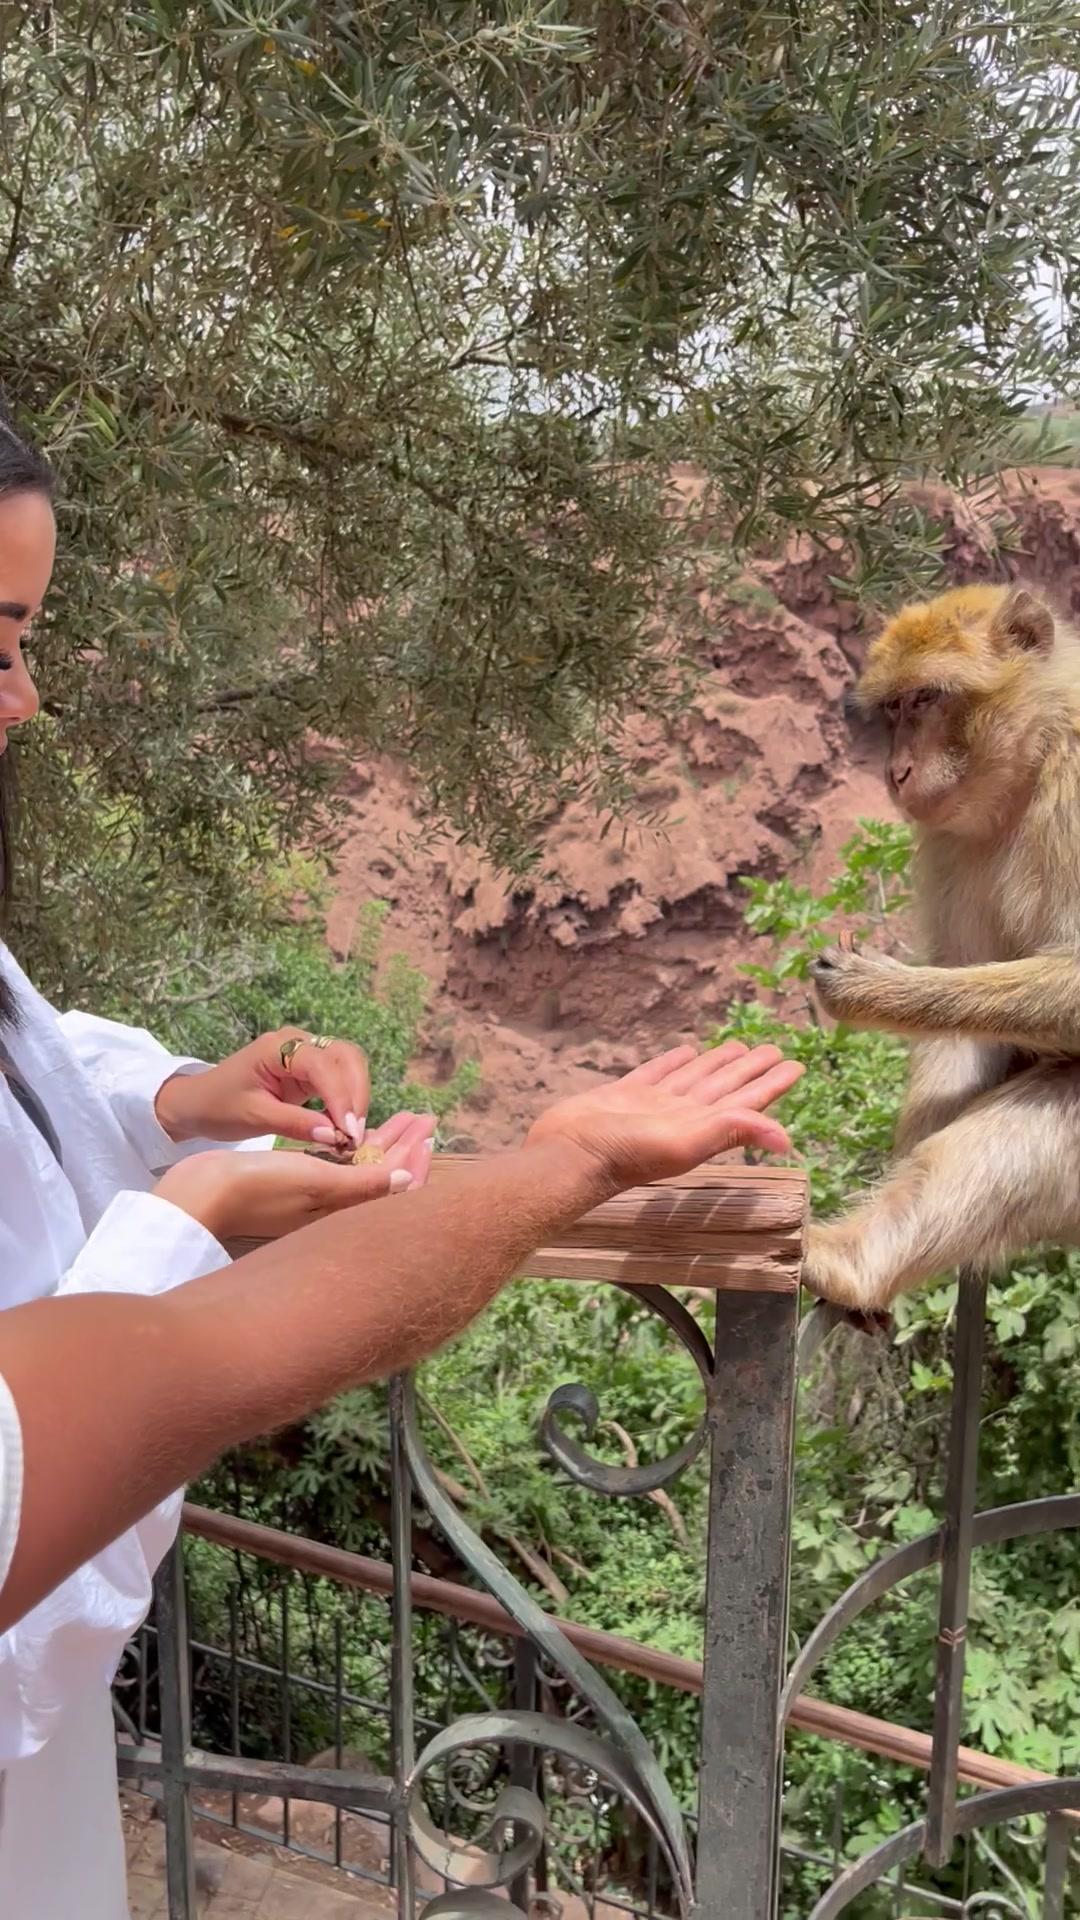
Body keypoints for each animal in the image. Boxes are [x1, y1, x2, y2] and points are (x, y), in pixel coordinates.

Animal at [802, 581, 1080, 1314]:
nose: (895, 770)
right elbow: (963, 1027)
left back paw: (845, 1263)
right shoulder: (950, 843)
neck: (1034, 764)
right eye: (894, 708)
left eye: (927, 698)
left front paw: (875, 990)